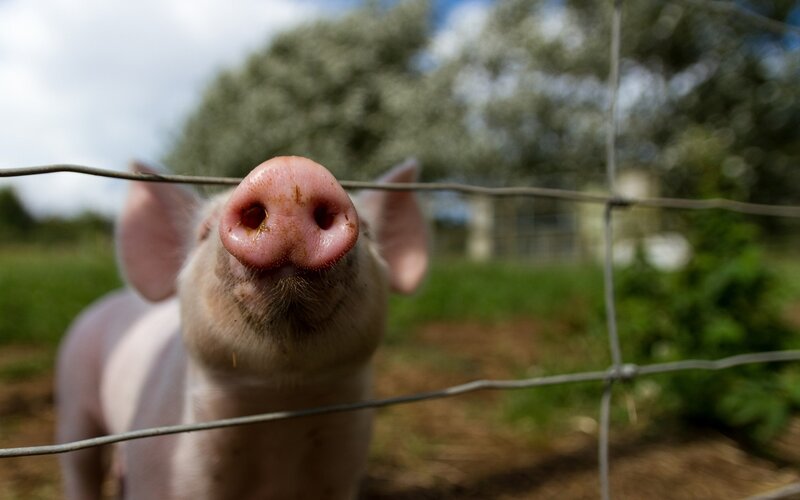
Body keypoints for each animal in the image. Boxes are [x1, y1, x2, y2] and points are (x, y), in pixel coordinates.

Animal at [55, 156, 428, 499]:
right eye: (203, 231)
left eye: (368, 231)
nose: (290, 168)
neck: (280, 410)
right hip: (73, 392)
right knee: (80, 464)